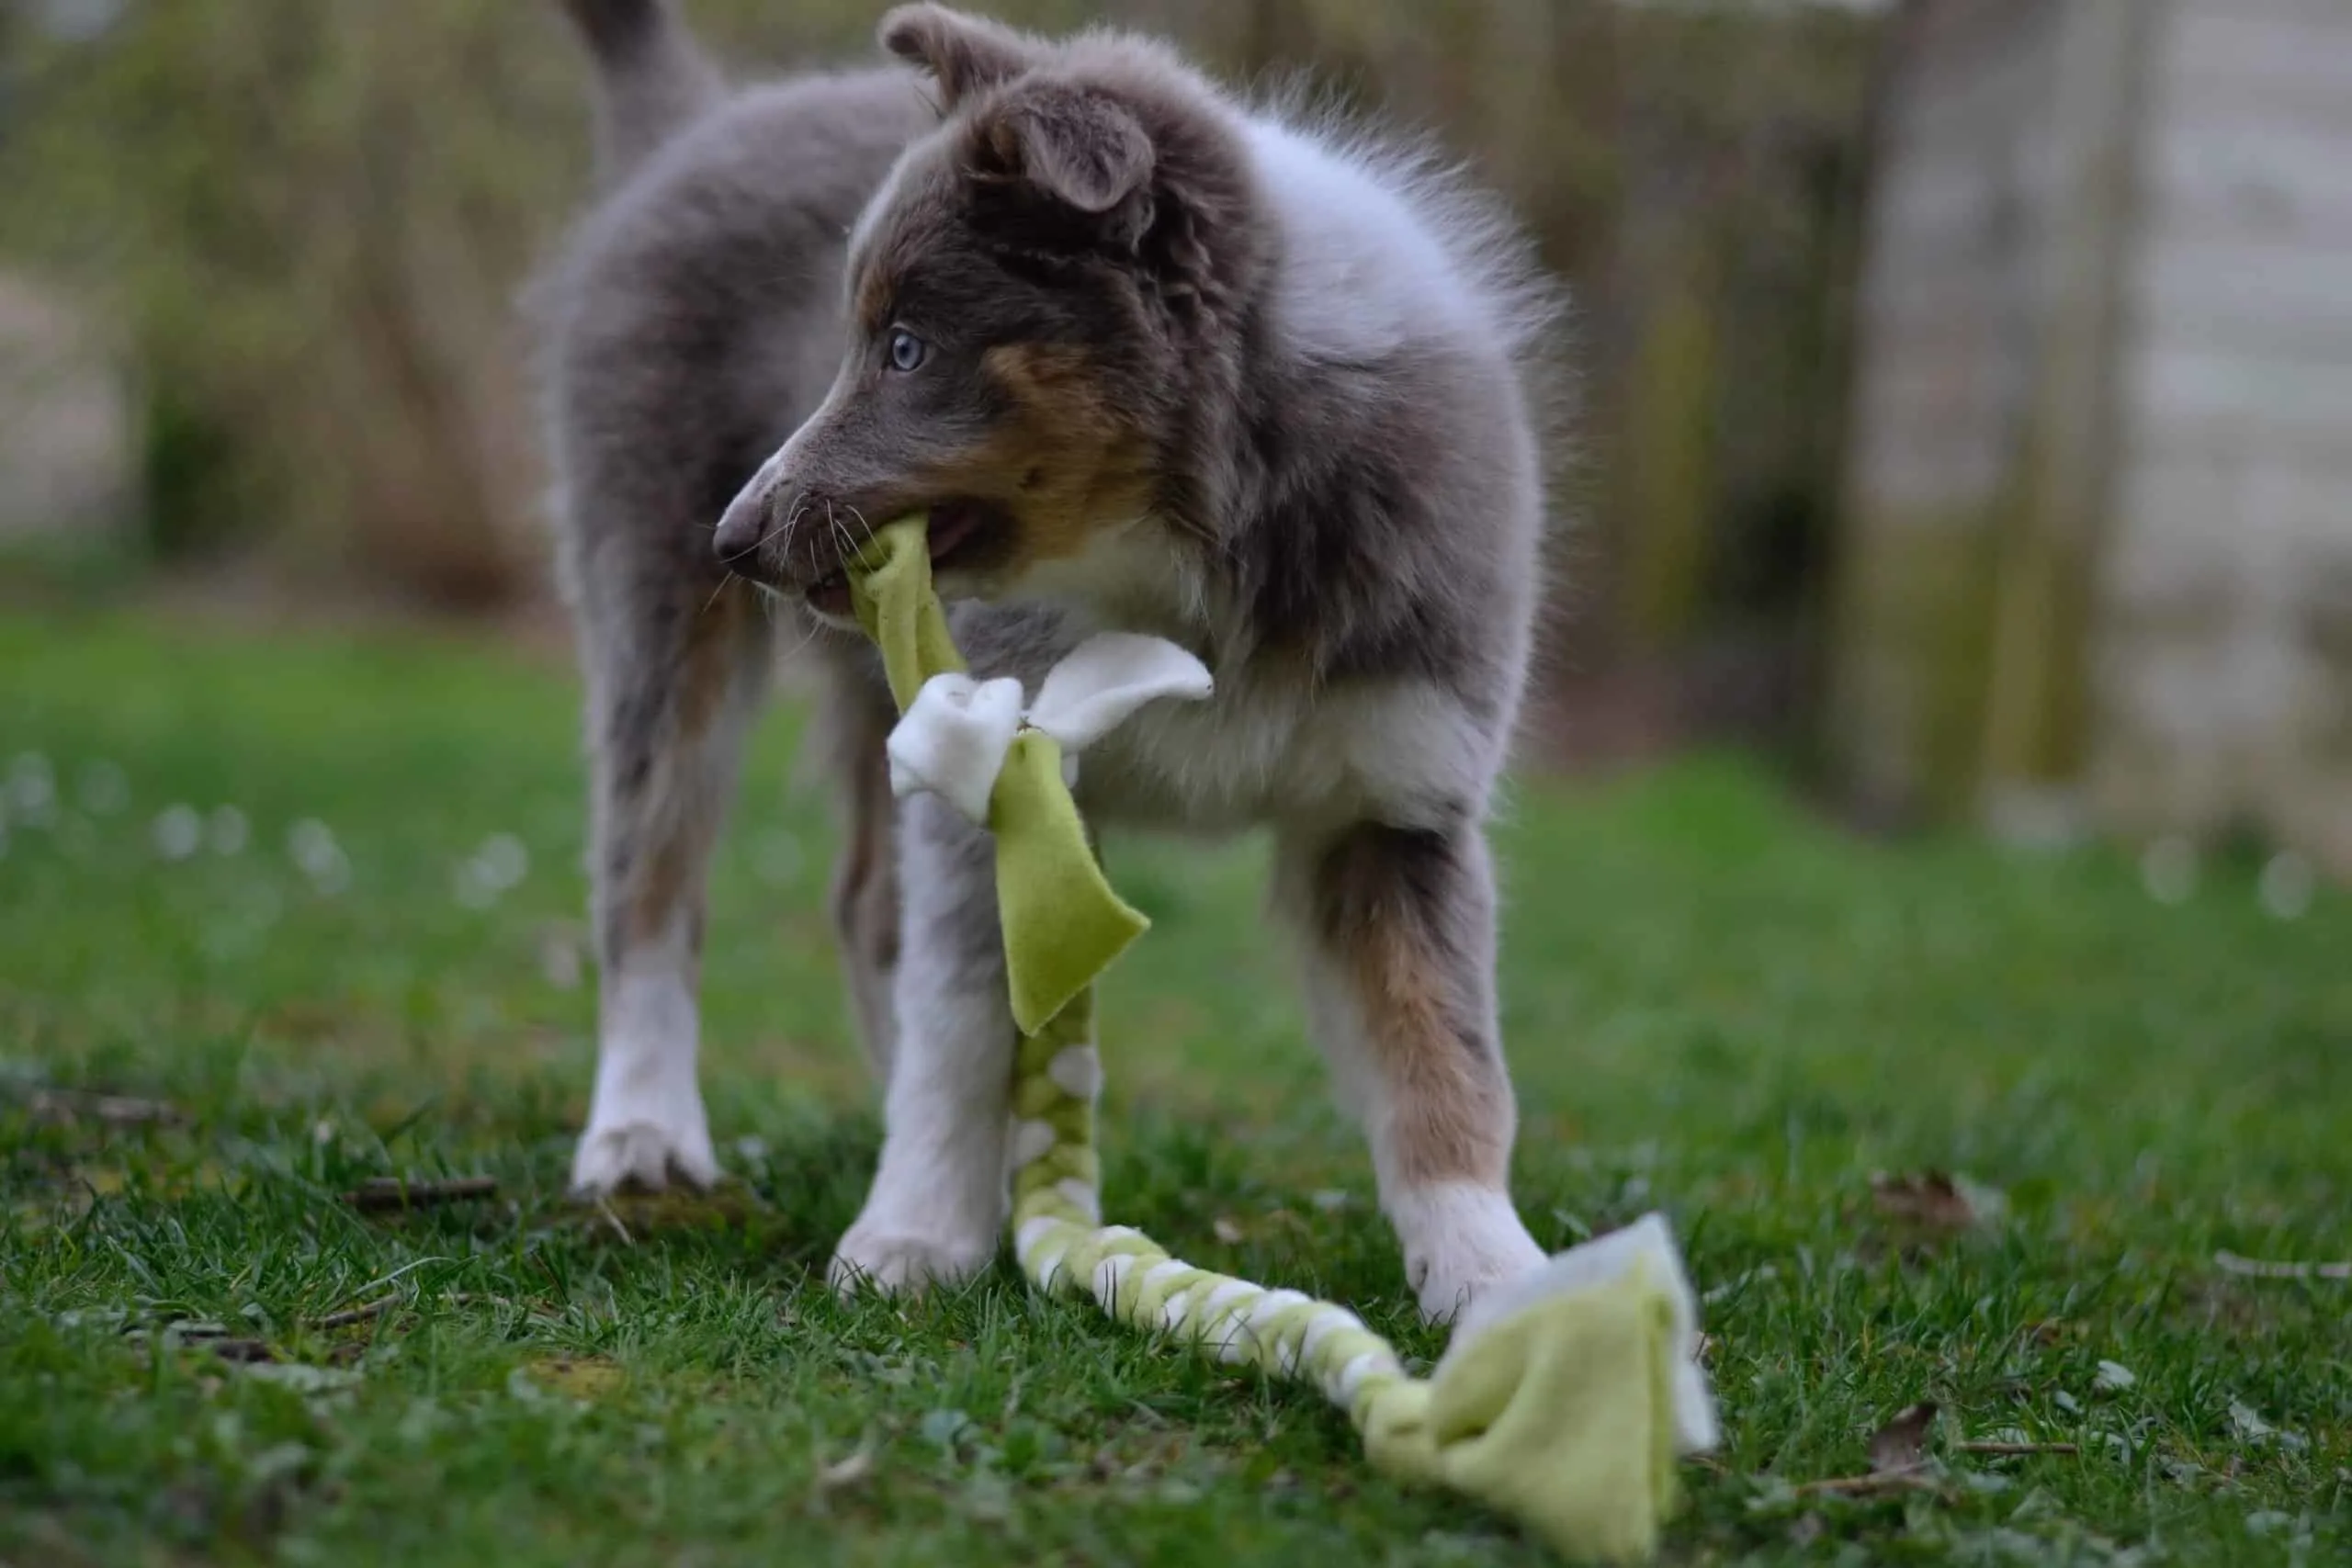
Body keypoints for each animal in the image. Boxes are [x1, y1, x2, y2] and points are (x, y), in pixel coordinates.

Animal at [540, 0, 1571, 1325]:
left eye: (907, 348)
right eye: (858, 341)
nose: (735, 538)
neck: (1193, 552)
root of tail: (698, 126)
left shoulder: (1397, 801)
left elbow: (1443, 1049)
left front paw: (1494, 1271)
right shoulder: (994, 768)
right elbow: (960, 1019)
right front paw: (913, 1232)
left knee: (860, 907)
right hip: (660, 619)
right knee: (650, 882)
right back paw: (643, 1135)